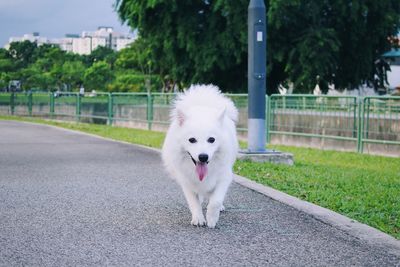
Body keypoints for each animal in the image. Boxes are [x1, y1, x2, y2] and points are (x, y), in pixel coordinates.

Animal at [162, 84, 239, 228]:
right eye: (192, 140)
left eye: (211, 140)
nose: (203, 157)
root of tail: (202, 103)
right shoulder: (187, 182)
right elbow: (194, 202)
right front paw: (198, 218)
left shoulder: (224, 177)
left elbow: (216, 200)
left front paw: (212, 218)